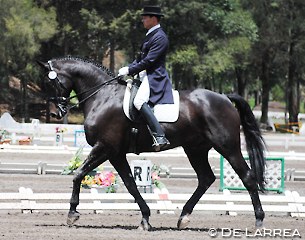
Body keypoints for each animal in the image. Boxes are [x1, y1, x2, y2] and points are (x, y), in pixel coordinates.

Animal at [37, 56, 266, 231]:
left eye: (50, 83)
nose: (55, 113)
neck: (103, 96)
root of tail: (225, 97)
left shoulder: (105, 147)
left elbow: (78, 174)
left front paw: (72, 213)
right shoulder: (116, 153)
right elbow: (130, 184)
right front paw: (145, 218)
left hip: (227, 147)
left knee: (247, 177)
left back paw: (259, 222)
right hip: (195, 149)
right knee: (206, 178)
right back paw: (183, 217)